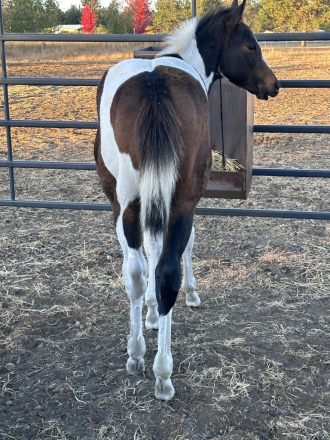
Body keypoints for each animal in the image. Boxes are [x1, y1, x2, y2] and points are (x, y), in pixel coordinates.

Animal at [94, 0, 280, 400]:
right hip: (173, 201)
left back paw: (138, 356)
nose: (273, 84)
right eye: (250, 45)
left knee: (137, 271)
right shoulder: (189, 199)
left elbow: (150, 254)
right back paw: (161, 373)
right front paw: (190, 296)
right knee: (163, 272)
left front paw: (150, 316)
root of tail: (154, 86)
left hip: (127, 202)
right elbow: (185, 247)